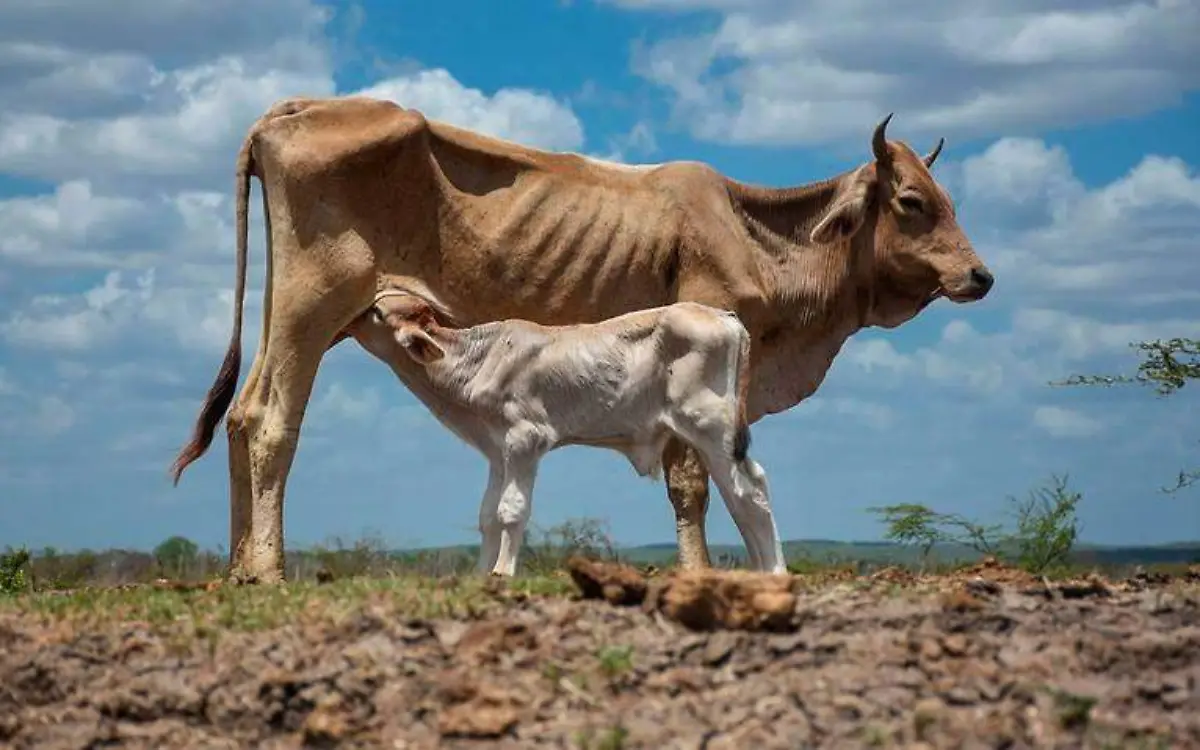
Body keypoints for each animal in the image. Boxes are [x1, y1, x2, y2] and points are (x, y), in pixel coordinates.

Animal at [338, 278, 787, 576]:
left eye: (375, 311)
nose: (343, 321)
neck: (476, 360)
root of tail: (724, 316)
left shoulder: (526, 438)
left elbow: (511, 510)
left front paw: (502, 574)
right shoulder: (497, 450)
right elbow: (487, 514)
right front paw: (481, 575)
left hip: (710, 426)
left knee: (748, 492)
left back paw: (775, 572)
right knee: (742, 494)